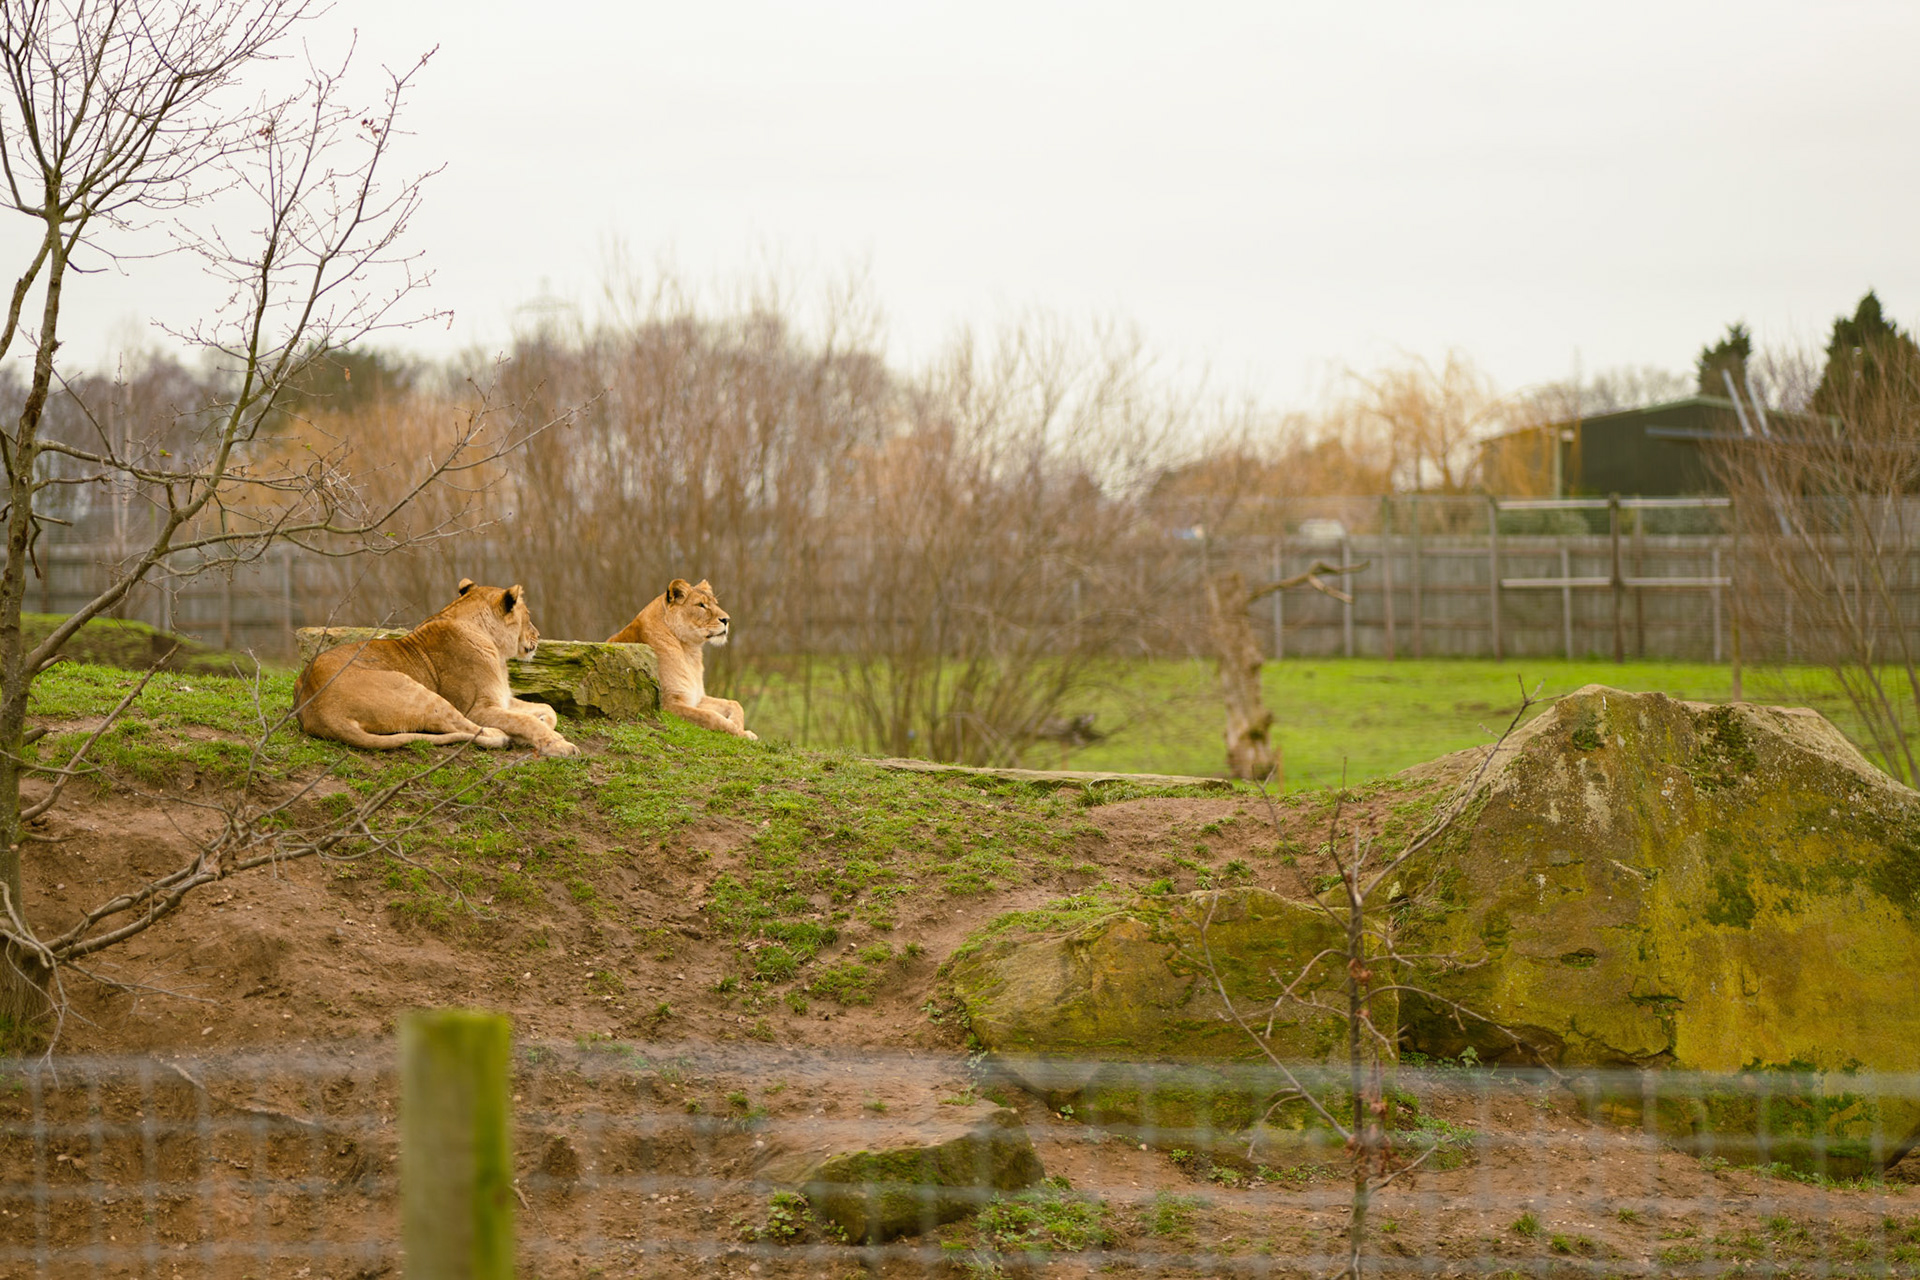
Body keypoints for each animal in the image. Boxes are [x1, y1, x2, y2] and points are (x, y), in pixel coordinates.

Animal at [295, 579, 581, 756]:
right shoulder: (477, 708)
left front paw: (545, 721)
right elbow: (524, 721)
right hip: (418, 691)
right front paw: (559, 745)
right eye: (529, 616)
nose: (538, 635)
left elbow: (547, 708)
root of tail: (319, 711)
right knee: (458, 725)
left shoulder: (502, 699)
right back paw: (500, 735)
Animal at [609, 578, 757, 740]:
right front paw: (742, 733)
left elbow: (734, 703)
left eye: (715, 603)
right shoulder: (667, 704)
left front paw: (739, 726)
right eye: (701, 605)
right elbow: (709, 716)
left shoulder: (696, 697)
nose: (727, 619)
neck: (689, 652)